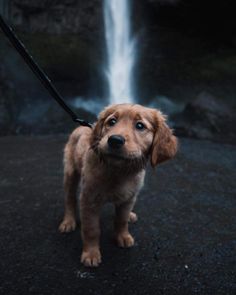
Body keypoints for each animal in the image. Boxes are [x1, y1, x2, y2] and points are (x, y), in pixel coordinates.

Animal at [58, 104, 177, 268]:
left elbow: (122, 219)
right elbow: (91, 229)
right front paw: (91, 254)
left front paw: (123, 236)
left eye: (140, 125)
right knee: (69, 199)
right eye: (112, 121)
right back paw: (68, 221)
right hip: (70, 173)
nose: (114, 140)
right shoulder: (88, 199)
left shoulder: (129, 198)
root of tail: (80, 126)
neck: (119, 171)